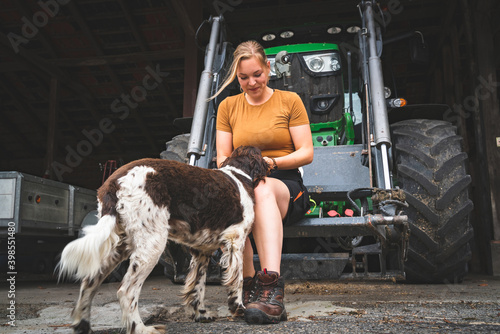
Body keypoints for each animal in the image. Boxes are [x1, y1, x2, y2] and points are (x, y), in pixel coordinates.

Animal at [57, 146, 270, 334]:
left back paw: (82, 325)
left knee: (89, 283)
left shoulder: (202, 250)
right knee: (126, 291)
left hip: (119, 246)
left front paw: (200, 314)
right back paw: (141, 328)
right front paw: (238, 308)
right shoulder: (236, 239)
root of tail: (114, 182)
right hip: (152, 244)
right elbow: (237, 280)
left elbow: (197, 286)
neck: (239, 173)